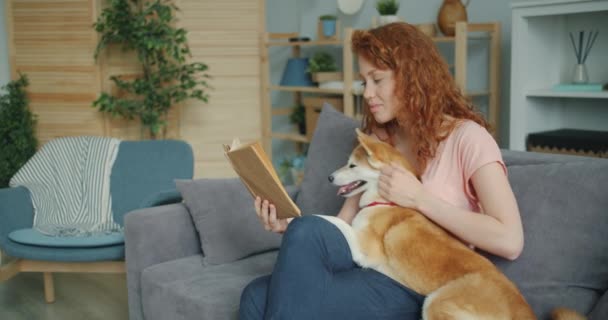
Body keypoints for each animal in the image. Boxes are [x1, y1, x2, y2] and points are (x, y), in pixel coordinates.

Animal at [316, 129, 580, 320]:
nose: (328, 177)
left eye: (352, 165)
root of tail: (525, 313)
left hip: (436, 302)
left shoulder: (364, 249)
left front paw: (312, 217)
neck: (387, 201)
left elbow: (335, 222)